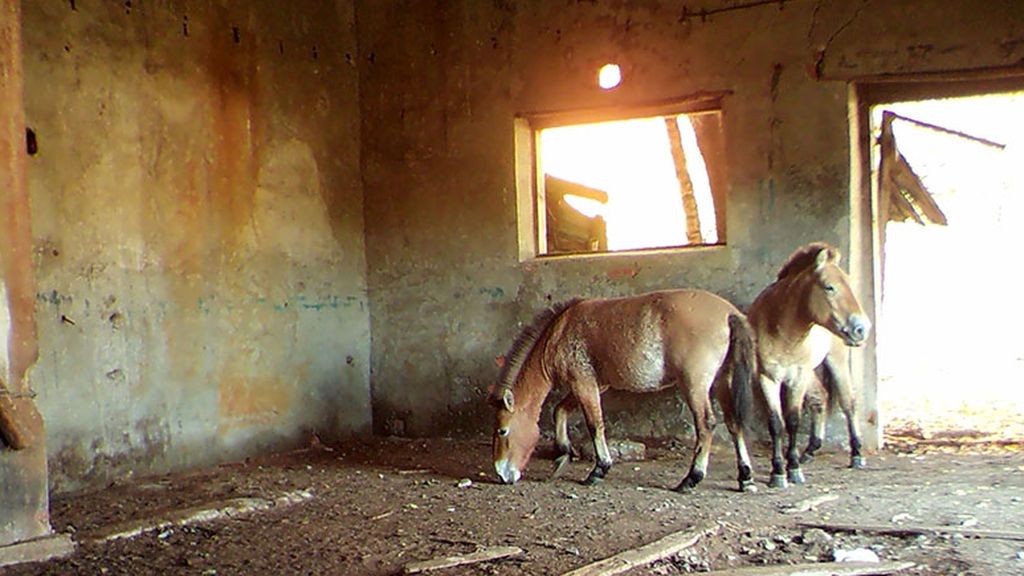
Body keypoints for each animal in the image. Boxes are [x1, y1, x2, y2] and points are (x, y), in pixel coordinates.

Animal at [487, 289, 761, 491]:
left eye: (502, 430)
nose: (501, 474)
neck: (558, 332)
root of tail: (729, 314)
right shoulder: (595, 385)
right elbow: (560, 411)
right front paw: (563, 454)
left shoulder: (583, 383)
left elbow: (594, 424)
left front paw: (599, 470)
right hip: (724, 381)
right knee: (734, 423)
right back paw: (745, 477)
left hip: (695, 385)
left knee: (706, 425)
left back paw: (691, 478)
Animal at [745, 241, 872, 487]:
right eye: (829, 287)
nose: (862, 328)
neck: (781, 329)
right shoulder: (767, 378)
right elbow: (776, 423)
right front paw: (778, 471)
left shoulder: (797, 377)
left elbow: (793, 420)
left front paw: (792, 468)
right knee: (820, 397)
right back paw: (811, 450)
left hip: (835, 363)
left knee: (848, 402)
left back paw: (857, 454)